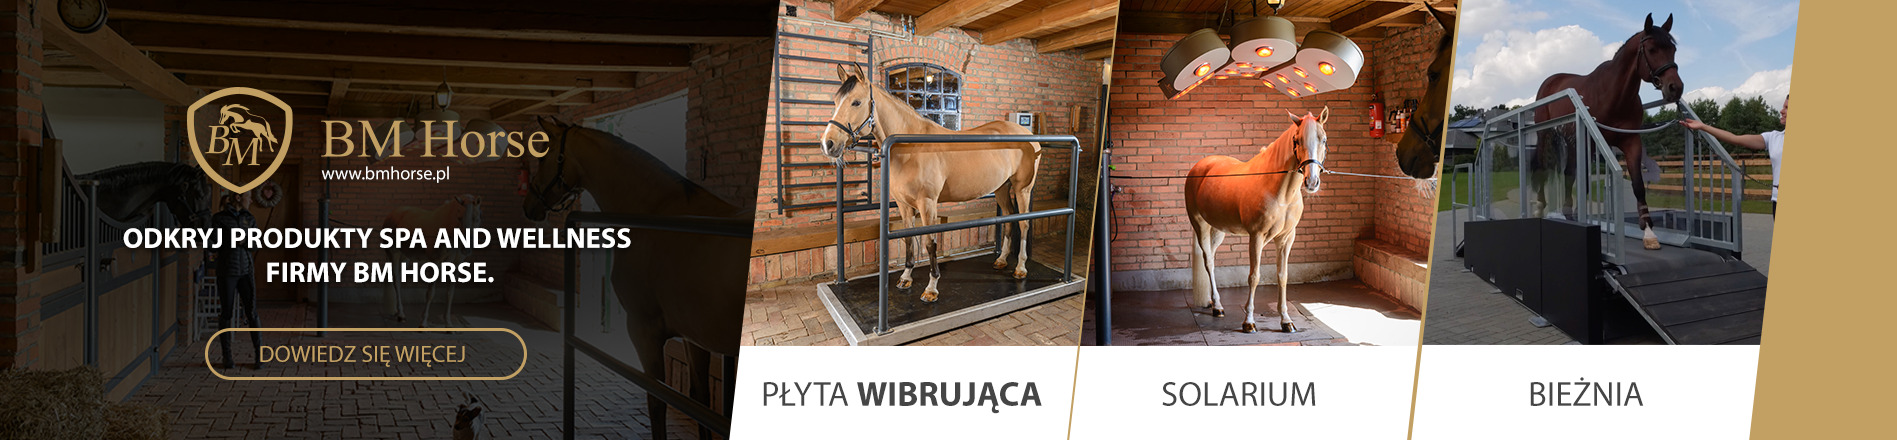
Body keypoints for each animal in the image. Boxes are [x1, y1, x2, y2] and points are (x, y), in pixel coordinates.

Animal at [381, 194, 482, 326]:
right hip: (394, 253)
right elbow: (430, 294)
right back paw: (401, 314)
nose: (466, 250)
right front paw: (423, 322)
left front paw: (448, 323)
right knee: (396, 281)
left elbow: (450, 294)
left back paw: (397, 312)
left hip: (405, 257)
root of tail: (392, 214)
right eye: (459, 218)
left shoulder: (455, 266)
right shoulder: (435, 263)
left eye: (477, 219)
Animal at [521, 117, 749, 439]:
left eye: (542, 157)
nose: (529, 205)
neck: (656, 212)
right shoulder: (695, 337)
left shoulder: (644, 330)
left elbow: (657, 403)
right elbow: (701, 400)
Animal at [817, 64, 1043, 303]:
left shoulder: (928, 204)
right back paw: (1001, 260)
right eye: (835, 101)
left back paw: (1020, 268)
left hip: (1023, 189)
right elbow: (908, 239)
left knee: (1024, 223)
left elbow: (929, 242)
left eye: (856, 102)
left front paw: (931, 288)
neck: (910, 146)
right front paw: (905, 278)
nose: (827, 144)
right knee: (1010, 218)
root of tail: (1027, 134)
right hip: (1001, 188)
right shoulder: (904, 205)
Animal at [1185, 109, 1329, 334]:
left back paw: (1212, 302)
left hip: (1218, 230)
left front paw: (1286, 320)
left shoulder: (1286, 239)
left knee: (1212, 260)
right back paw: (1218, 307)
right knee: (1208, 261)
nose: (1312, 181)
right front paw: (1249, 321)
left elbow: (1282, 276)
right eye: (1297, 140)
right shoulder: (1256, 236)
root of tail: (1198, 168)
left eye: (1323, 139)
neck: (1279, 191)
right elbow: (1254, 277)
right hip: (1200, 224)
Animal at [1532, 13, 1685, 251]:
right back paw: (1540, 207)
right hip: (1545, 135)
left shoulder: (1631, 143)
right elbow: (1583, 183)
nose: (1675, 88)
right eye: (1651, 50)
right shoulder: (1590, 142)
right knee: (1543, 166)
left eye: (1673, 49)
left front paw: (1649, 233)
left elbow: (1638, 185)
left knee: (1568, 173)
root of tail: (1551, 81)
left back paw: (1568, 212)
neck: (1614, 96)